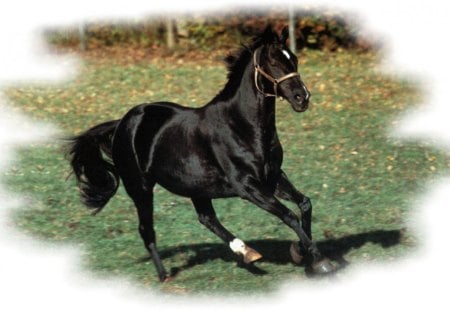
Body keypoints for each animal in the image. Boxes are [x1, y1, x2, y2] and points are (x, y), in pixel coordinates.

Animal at [68, 25, 336, 282]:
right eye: (273, 62)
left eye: (294, 59)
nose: (302, 98)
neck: (241, 126)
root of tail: (122, 124)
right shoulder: (248, 187)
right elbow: (289, 216)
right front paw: (320, 262)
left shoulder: (273, 177)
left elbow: (304, 204)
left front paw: (301, 253)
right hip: (141, 189)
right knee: (147, 230)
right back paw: (164, 276)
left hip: (195, 187)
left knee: (207, 218)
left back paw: (247, 253)